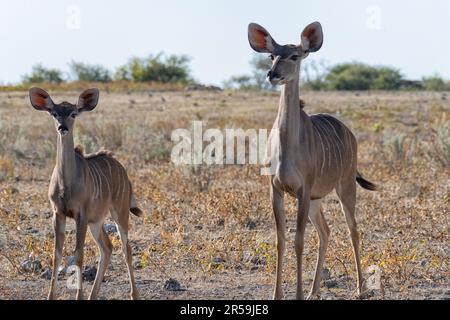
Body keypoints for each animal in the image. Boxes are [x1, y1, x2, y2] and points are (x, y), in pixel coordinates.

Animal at [29, 88, 142, 300]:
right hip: (96, 221)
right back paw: (93, 295)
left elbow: (79, 254)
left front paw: (78, 296)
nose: (62, 128)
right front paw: (51, 296)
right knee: (107, 248)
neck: (66, 184)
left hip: (119, 212)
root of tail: (123, 171)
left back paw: (134, 294)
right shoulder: (58, 213)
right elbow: (56, 255)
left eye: (73, 113)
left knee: (126, 248)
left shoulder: (80, 214)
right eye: (54, 113)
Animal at [248, 22, 378, 300]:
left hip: (344, 187)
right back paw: (314, 292)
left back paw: (359, 289)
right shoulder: (276, 189)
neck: (287, 148)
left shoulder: (303, 189)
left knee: (353, 230)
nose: (272, 74)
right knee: (325, 231)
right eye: (271, 55)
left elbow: (298, 240)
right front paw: (278, 295)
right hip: (318, 200)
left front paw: (296, 294)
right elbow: (281, 240)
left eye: (295, 56)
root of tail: (349, 133)